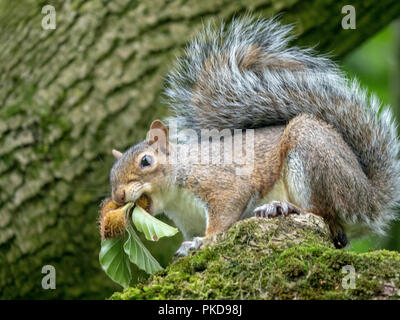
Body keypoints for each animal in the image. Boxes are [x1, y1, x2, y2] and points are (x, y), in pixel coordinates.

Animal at [106, 17, 400, 254]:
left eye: (146, 161)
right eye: (111, 175)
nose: (118, 196)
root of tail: (370, 198)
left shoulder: (221, 183)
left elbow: (225, 214)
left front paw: (201, 242)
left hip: (314, 157)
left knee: (328, 219)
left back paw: (283, 208)